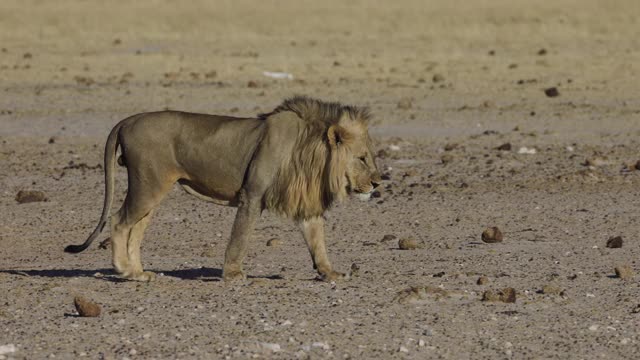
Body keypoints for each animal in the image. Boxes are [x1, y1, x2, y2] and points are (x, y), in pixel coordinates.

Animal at [66, 97, 380, 282]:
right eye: (363, 158)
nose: (378, 183)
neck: (309, 153)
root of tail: (127, 120)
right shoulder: (252, 195)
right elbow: (239, 238)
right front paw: (233, 274)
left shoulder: (307, 204)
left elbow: (317, 241)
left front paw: (329, 272)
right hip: (147, 185)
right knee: (119, 221)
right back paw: (124, 270)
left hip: (152, 190)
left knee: (136, 229)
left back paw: (138, 272)